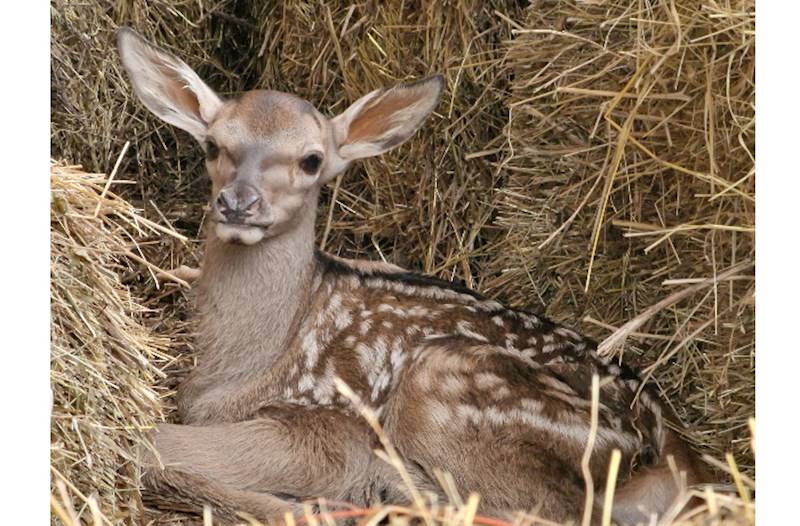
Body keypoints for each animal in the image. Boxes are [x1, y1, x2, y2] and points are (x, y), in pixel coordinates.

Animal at [117, 27, 708, 526]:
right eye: (213, 145)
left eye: (311, 160)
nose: (239, 202)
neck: (247, 361)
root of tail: (677, 449)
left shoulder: (322, 426)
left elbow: (153, 445)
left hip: (446, 382)